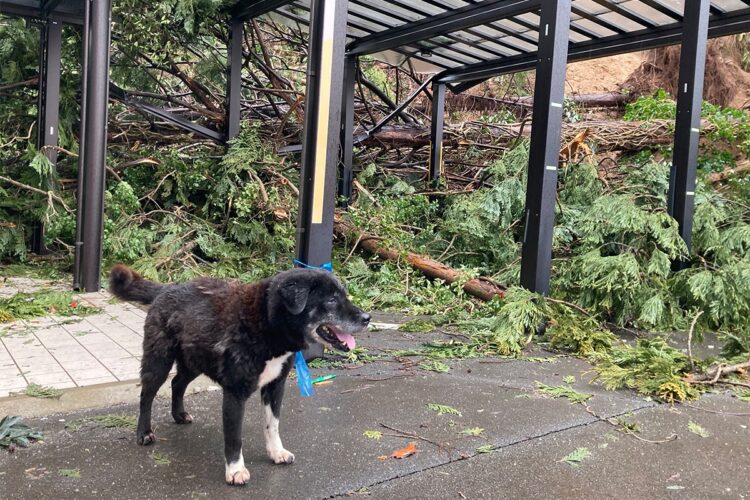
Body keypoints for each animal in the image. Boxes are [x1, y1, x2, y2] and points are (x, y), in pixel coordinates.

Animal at [109, 266, 374, 484]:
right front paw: (235, 471)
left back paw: (179, 414)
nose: (367, 318)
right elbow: (234, 437)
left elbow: (272, 425)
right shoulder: (235, 393)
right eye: (331, 299)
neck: (266, 321)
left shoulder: (275, 386)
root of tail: (166, 288)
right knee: (147, 395)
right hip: (159, 362)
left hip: (194, 362)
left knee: (177, 383)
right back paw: (144, 433)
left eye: (344, 295)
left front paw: (276, 452)